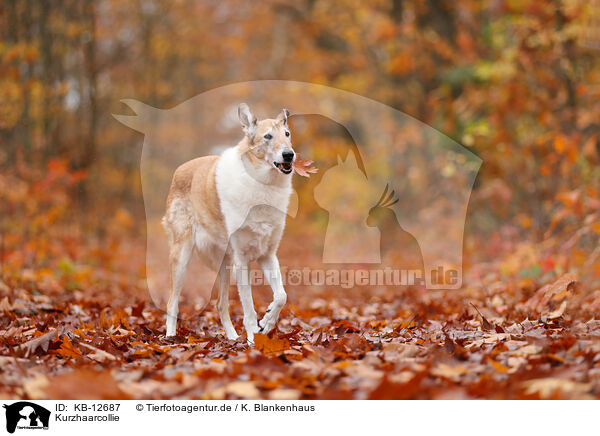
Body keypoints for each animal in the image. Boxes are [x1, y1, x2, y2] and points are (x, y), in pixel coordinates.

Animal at [162, 103, 296, 344]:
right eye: (268, 136)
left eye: (287, 134)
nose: (289, 154)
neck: (262, 185)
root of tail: (180, 169)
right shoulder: (242, 260)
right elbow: (249, 309)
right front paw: (254, 340)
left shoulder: (267, 256)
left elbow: (281, 295)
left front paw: (267, 321)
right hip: (182, 257)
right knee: (172, 303)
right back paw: (170, 337)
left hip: (225, 264)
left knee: (220, 304)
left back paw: (233, 338)